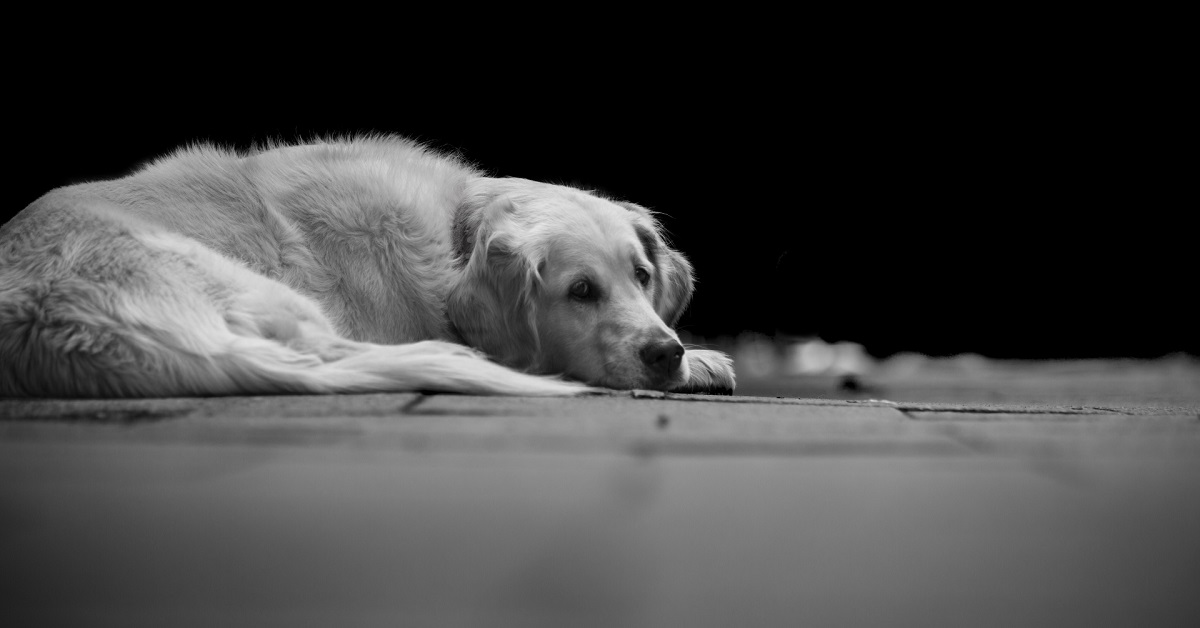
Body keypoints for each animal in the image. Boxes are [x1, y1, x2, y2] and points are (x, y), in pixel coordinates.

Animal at [0, 136, 734, 398]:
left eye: (642, 277)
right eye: (581, 290)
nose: (665, 353)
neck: (455, 237)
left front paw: (696, 358)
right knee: (328, 353)